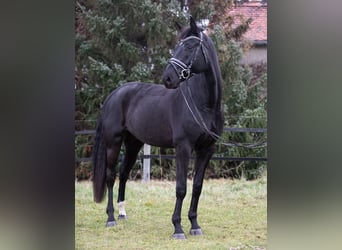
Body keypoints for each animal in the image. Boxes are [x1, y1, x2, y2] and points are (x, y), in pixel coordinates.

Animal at [92, 16, 223, 239]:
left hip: (133, 144)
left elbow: (197, 187)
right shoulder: (183, 148)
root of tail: (114, 94)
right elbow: (181, 187)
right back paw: (110, 218)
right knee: (110, 176)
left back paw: (122, 213)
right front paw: (178, 228)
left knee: (123, 173)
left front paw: (195, 225)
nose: (168, 78)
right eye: (176, 46)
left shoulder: (207, 149)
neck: (204, 104)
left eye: (189, 47)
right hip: (113, 143)